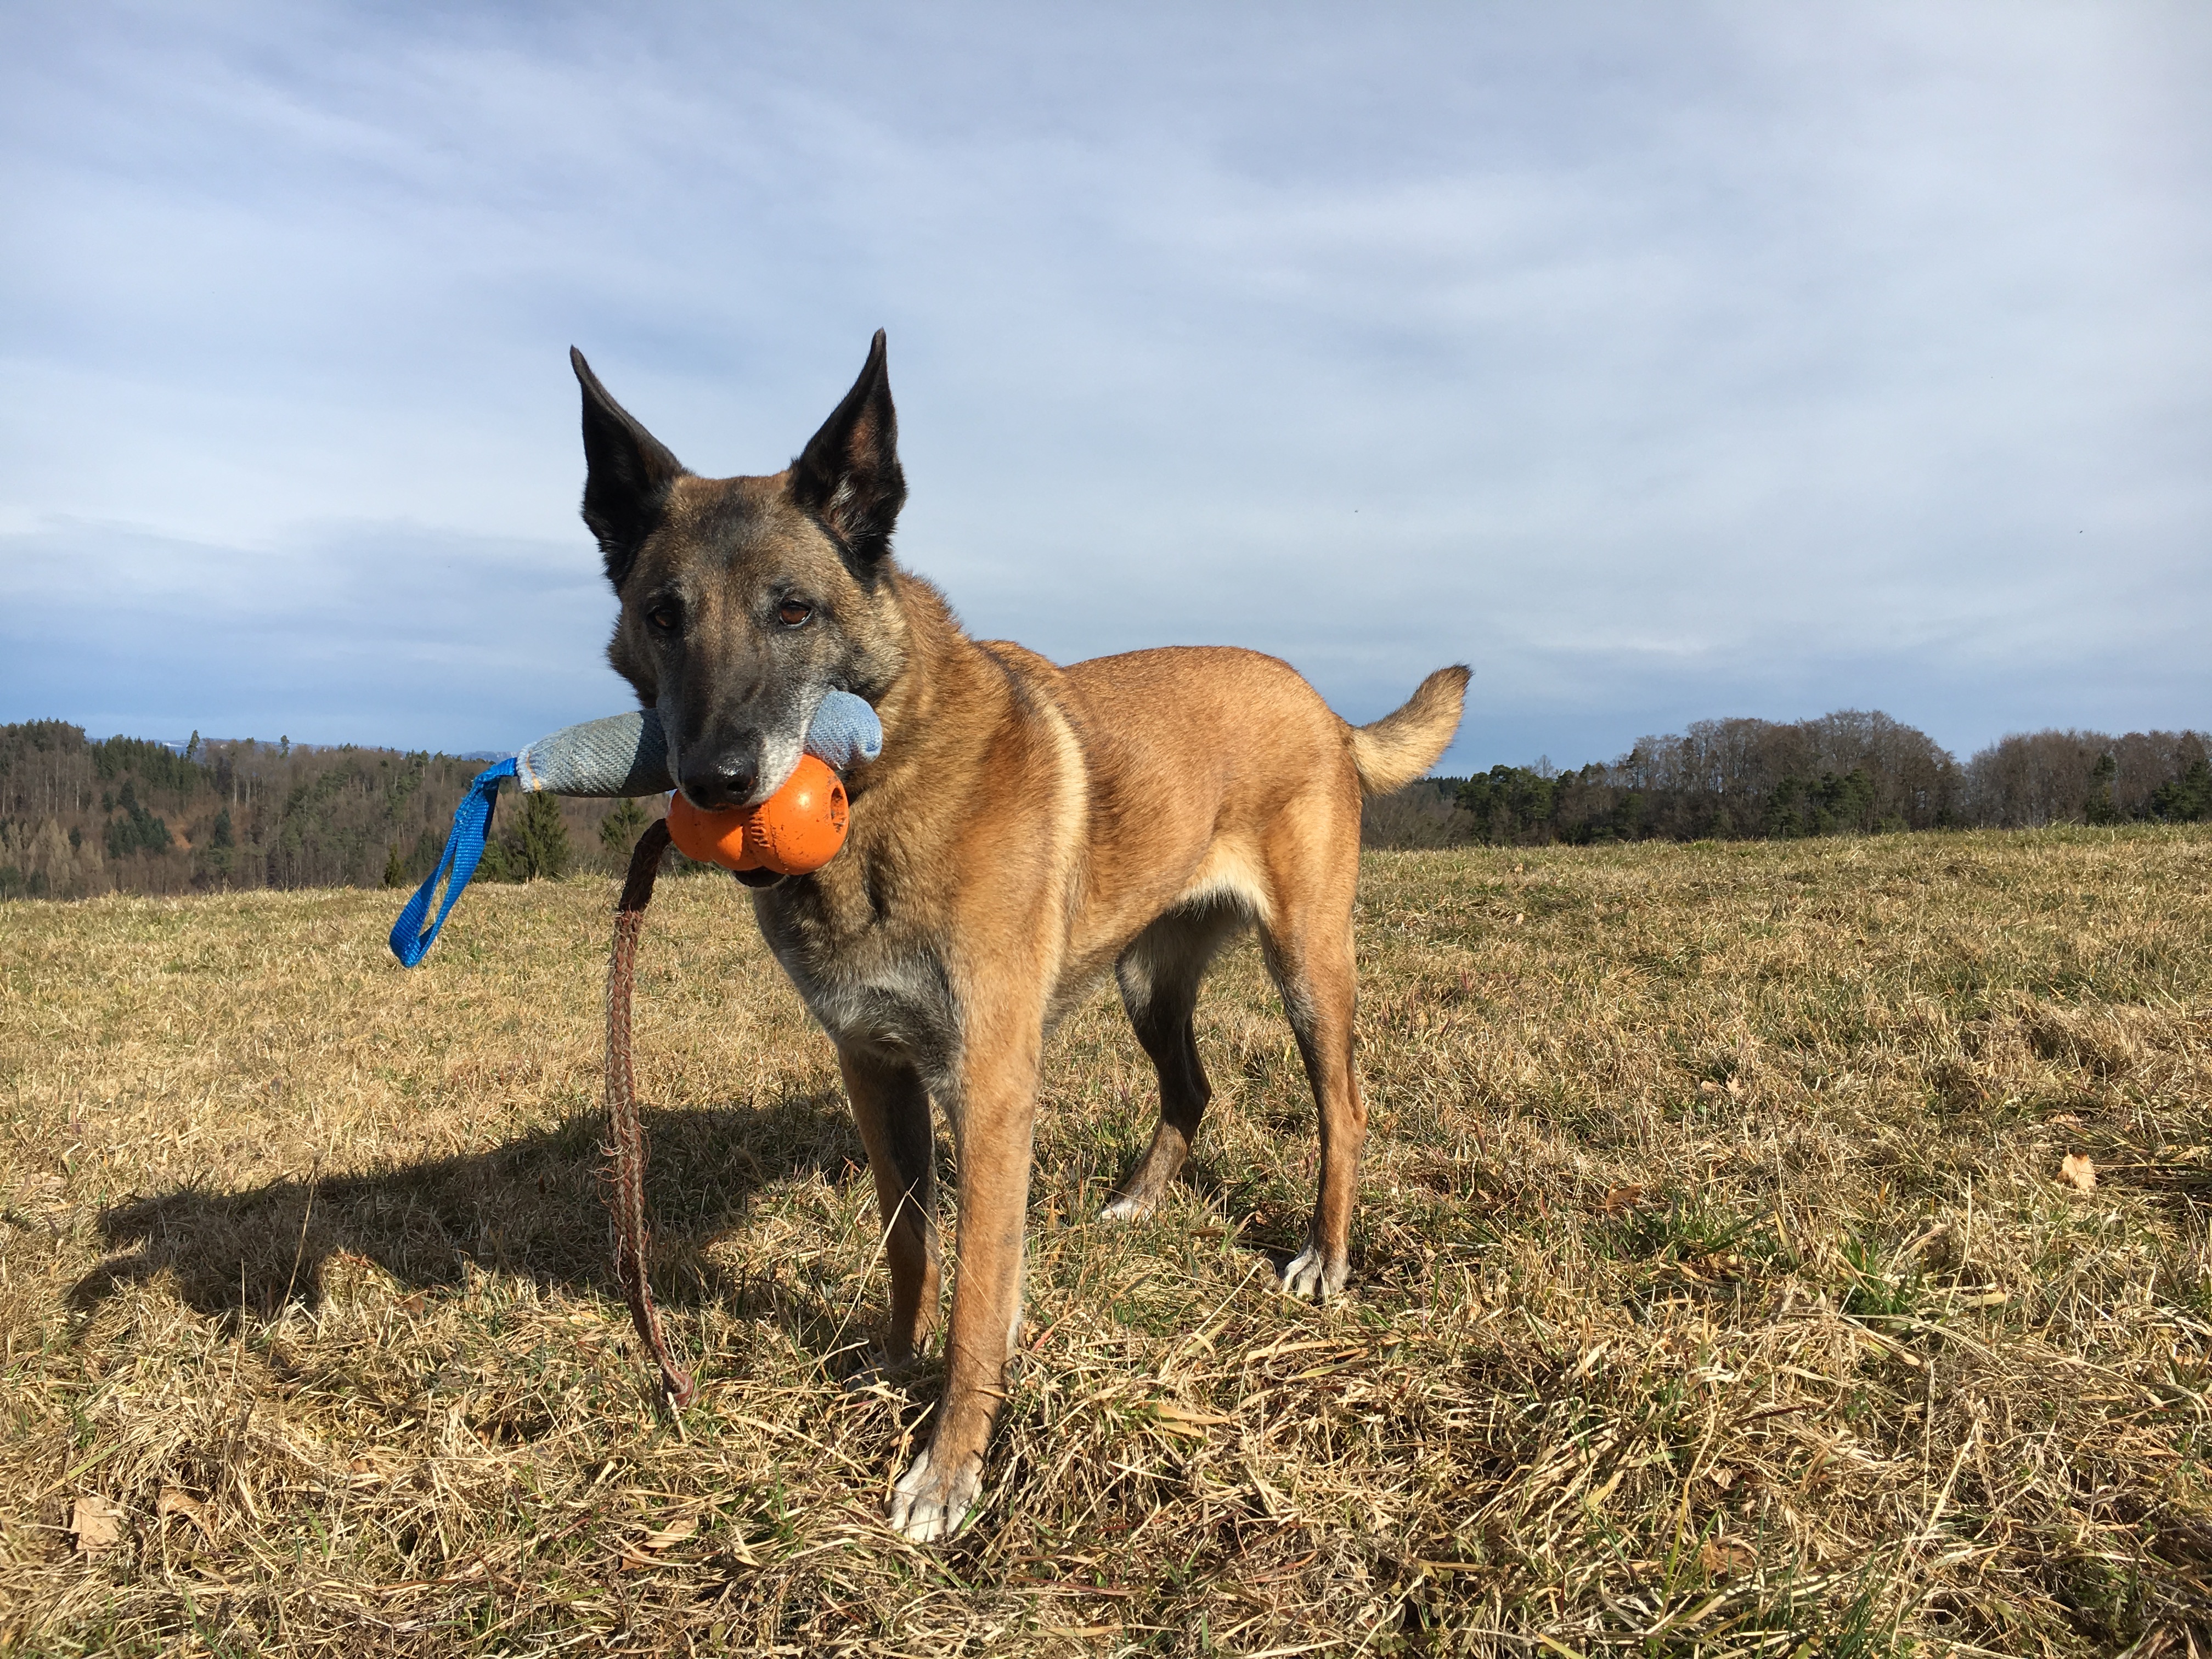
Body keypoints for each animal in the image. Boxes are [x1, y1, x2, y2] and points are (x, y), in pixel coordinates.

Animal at [571, 338, 1469, 1548]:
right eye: (664, 616)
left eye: (793, 611)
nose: (714, 780)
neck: (886, 791)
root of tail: (1326, 711)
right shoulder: (875, 1068)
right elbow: (912, 1242)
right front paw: (891, 1360)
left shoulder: (990, 1086)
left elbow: (980, 1288)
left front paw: (949, 1467)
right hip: (1145, 976)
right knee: (1190, 1087)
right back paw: (1139, 1203)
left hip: (1307, 970)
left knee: (1345, 1106)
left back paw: (1323, 1259)